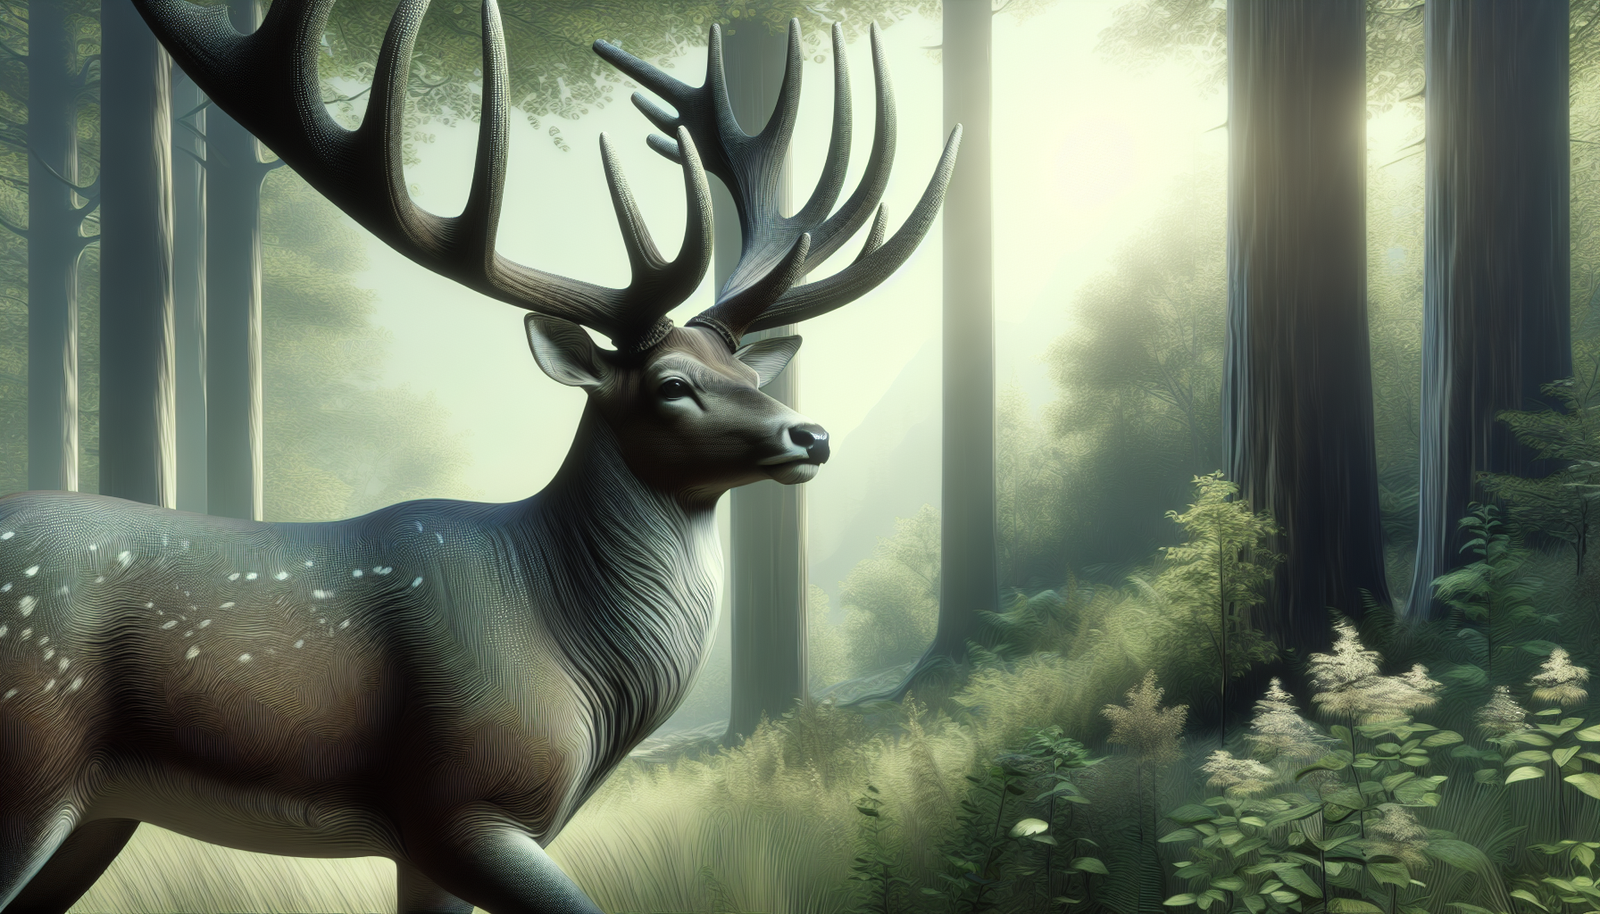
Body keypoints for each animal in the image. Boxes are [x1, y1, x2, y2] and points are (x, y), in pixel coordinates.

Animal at [0, 1, 958, 912]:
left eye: (746, 372)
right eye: (672, 384)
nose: (812, 435)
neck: (568, 655)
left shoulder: (429, 848)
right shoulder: (459, 801)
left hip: (99, 814)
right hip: (28, 763)